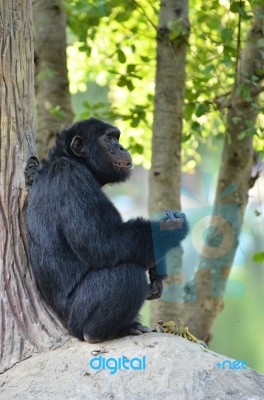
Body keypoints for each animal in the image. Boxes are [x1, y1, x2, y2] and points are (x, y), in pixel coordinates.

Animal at [26, 117, 188, 342]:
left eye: (116, 138)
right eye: (109, 138)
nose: (121, 146)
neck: (75, 161)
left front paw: (158, 268)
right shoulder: (72, 179)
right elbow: (105, 241)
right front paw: (171, 227)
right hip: (78, 315)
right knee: (128, 272)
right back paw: (104, 332)